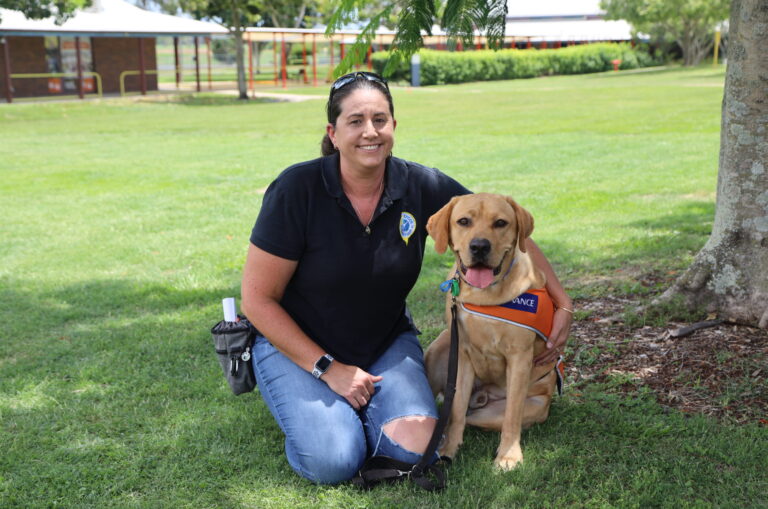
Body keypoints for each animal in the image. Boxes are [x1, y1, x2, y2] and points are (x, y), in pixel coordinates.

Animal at [426, 192, 560, 470]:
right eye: (463, 221)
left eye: (500, 223)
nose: (479, 246)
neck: (484, 295)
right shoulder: (462, 355)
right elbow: (456, 411)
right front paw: (449, 449)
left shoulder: (519, 358)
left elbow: (511, 417)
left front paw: (508, 456)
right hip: (439, 347)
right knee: (454, 412)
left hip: (517, 408)